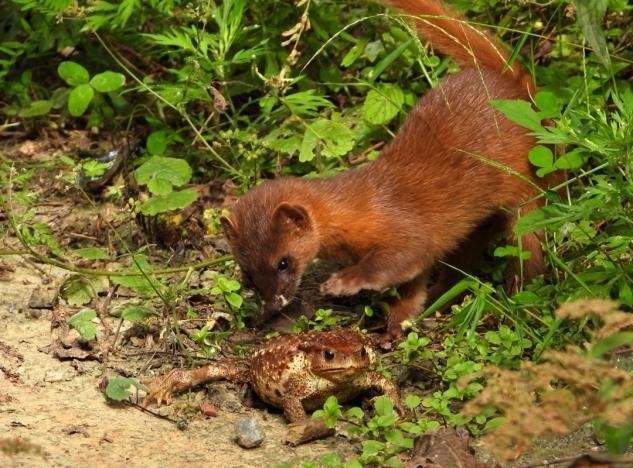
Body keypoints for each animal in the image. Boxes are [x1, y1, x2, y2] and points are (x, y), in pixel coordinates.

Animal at [222, 0, 552, 336]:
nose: (273, 304)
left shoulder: (405, 228)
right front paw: (399, 323)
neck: (360, 206)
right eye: (248, 273)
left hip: (524, 195)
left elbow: (402, 258)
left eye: (283, 262)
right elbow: (410, 288)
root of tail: (516, 87)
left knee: (529, 249)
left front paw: (342, 283)